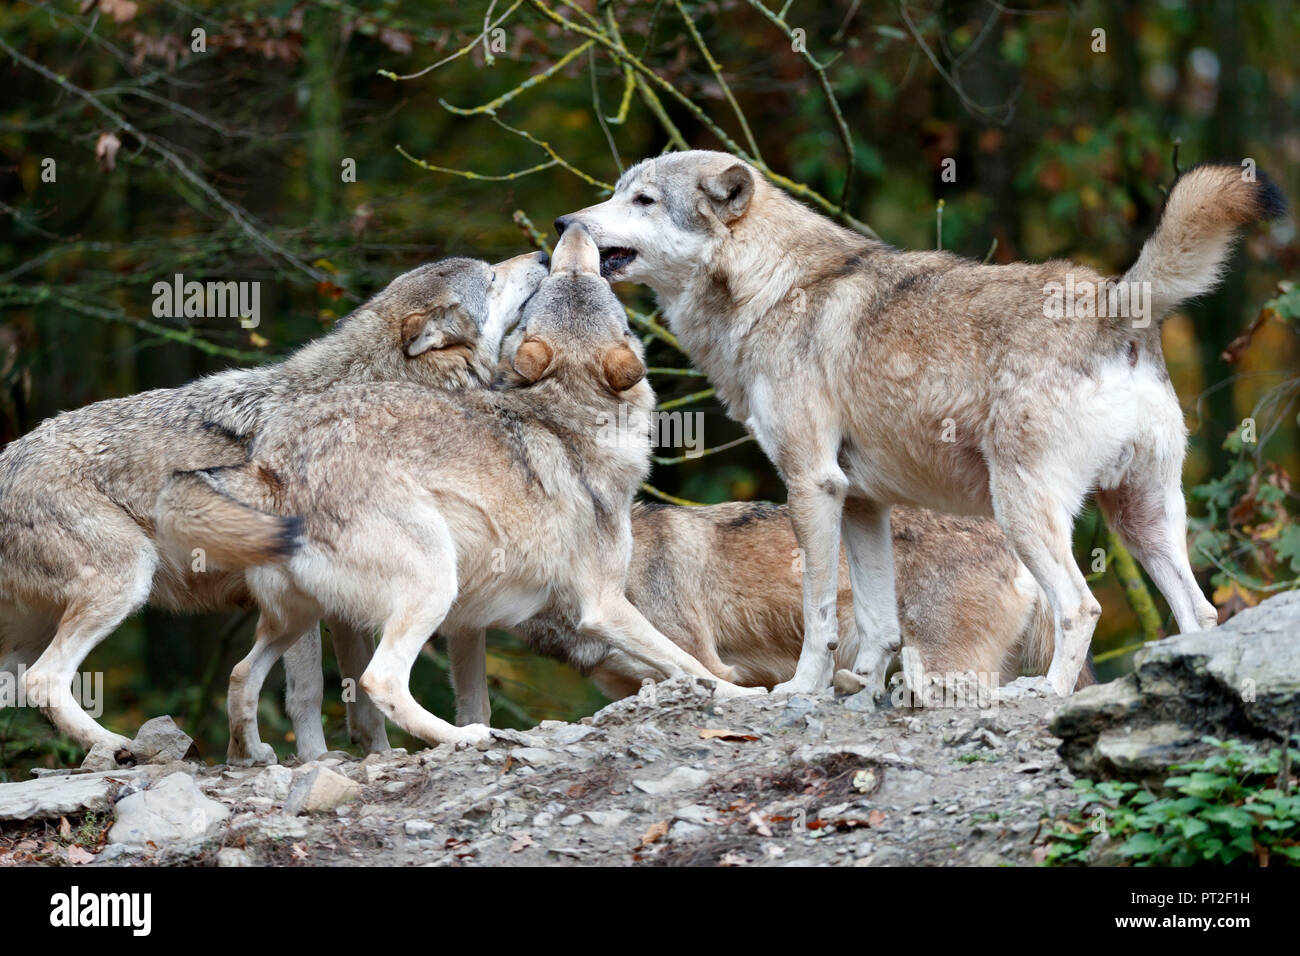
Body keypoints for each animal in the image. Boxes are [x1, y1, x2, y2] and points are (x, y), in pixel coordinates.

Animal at [0, 251, 548, 759]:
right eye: (491, 276)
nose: (543, 255)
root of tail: (9, 454)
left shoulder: (342, 607)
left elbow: (359, 694)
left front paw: (374, 752)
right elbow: (308, 691)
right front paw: (313, 759)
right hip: (125, 581)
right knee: (44, 681)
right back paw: (117, 744)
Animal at [154, 227, 759, 759]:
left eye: (578, 279)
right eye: (617, 310)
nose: (563, 239)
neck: (568, 412)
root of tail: (270, 467)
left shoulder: (472, 623)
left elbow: (482, 694)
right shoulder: (602, 606)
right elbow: (690, 663)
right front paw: (745, 694)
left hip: (299, 621)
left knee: (241, 675)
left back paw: (249, 755)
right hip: (427, 588)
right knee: (378, 682)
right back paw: (459, 739)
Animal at [553, 155, 1284, 697]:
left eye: (643, 200)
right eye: (616, 191)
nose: (565, 221)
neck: (771, 287)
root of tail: (1117, 299)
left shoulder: (811, 483)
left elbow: (818, 616)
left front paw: (802, 692)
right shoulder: (862, 502)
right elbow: (879, 625)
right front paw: (859, 692)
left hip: (1023, 510)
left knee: (1084, 607)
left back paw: (1045, 695)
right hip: (1140, 520)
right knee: (1199, 612)